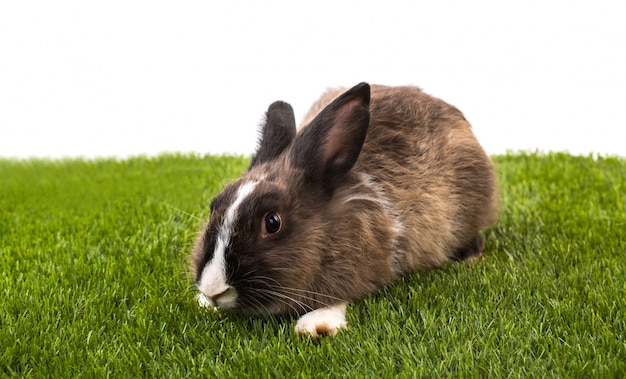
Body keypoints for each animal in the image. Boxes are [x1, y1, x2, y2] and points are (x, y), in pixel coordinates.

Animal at [190, 83, 498, 338]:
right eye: (214, 205)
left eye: (273, 222)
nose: (213, 289)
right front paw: (204, 303)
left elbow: (339, 296)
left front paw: (316, 326)